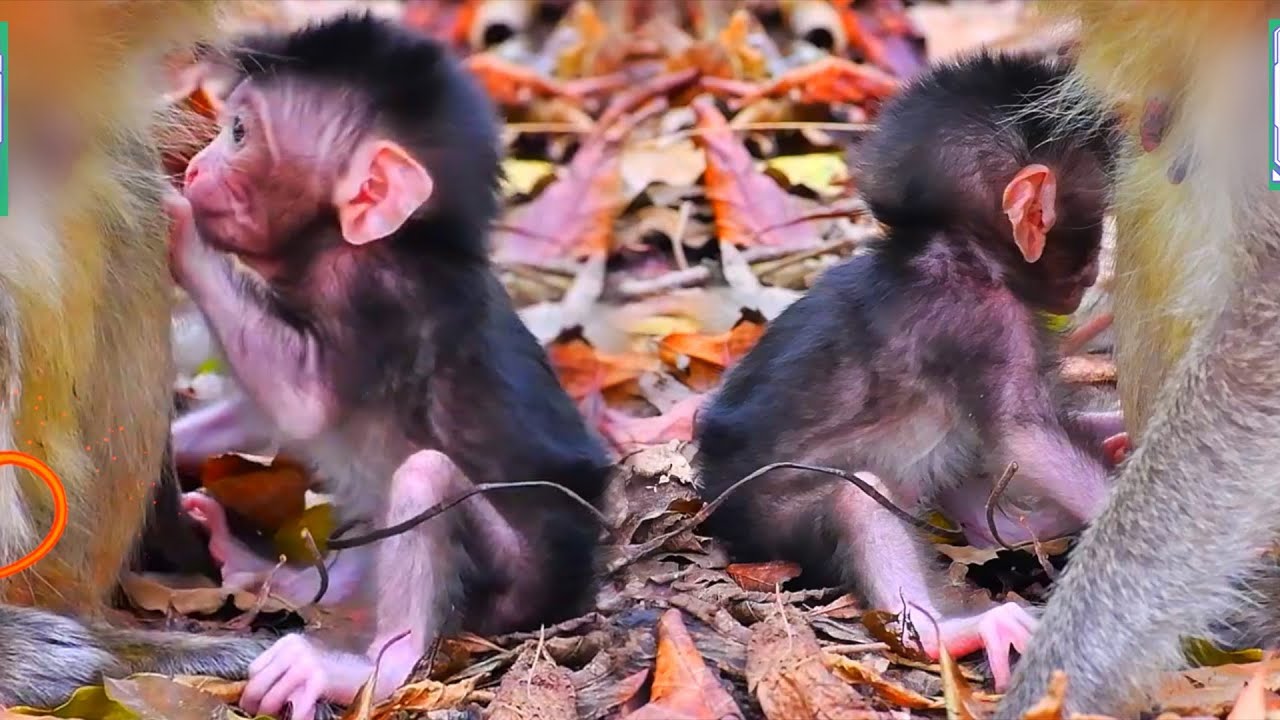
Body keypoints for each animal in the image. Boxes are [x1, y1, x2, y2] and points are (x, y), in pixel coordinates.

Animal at [167, 14, 611, 720]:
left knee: (424, 478)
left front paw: (174, 220)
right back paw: (266, 574)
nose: (196, 167)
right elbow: (266, 416)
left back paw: (368, 668)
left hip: (523, 582)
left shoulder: (379, 299)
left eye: (237, 132)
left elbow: (302, 402)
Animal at [692, 51, 1117, 691]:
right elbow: (1026, 435)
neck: (951, 250)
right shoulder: (980, 319)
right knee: (858, 498)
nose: (1092, 273)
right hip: (762, 515)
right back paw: (951, 632)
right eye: (1091, 228)